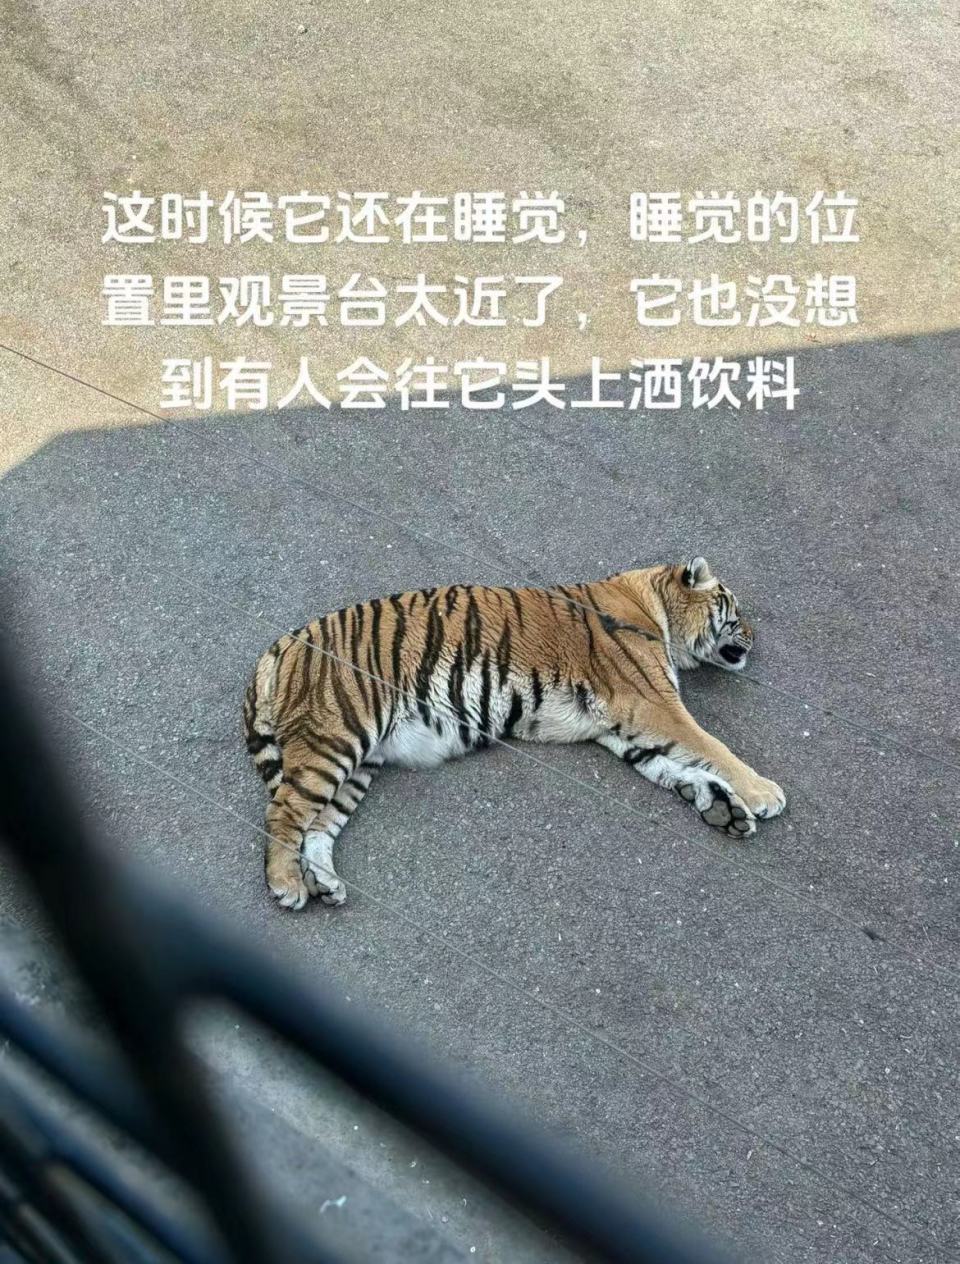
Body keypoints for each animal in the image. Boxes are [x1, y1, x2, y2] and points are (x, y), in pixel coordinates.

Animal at [244, 557, 786, 910]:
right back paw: (288, 885)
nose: (756, 637)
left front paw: (722, 807)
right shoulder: (651, 704)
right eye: (734, 610)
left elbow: (672, 766)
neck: (653, 606)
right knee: (283, 812)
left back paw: (325, 884)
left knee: (317, 825)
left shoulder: (620, 728)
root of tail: (282, 644)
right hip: (336, 735)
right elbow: (709, 745)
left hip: (359, 761)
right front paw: (763, 794)